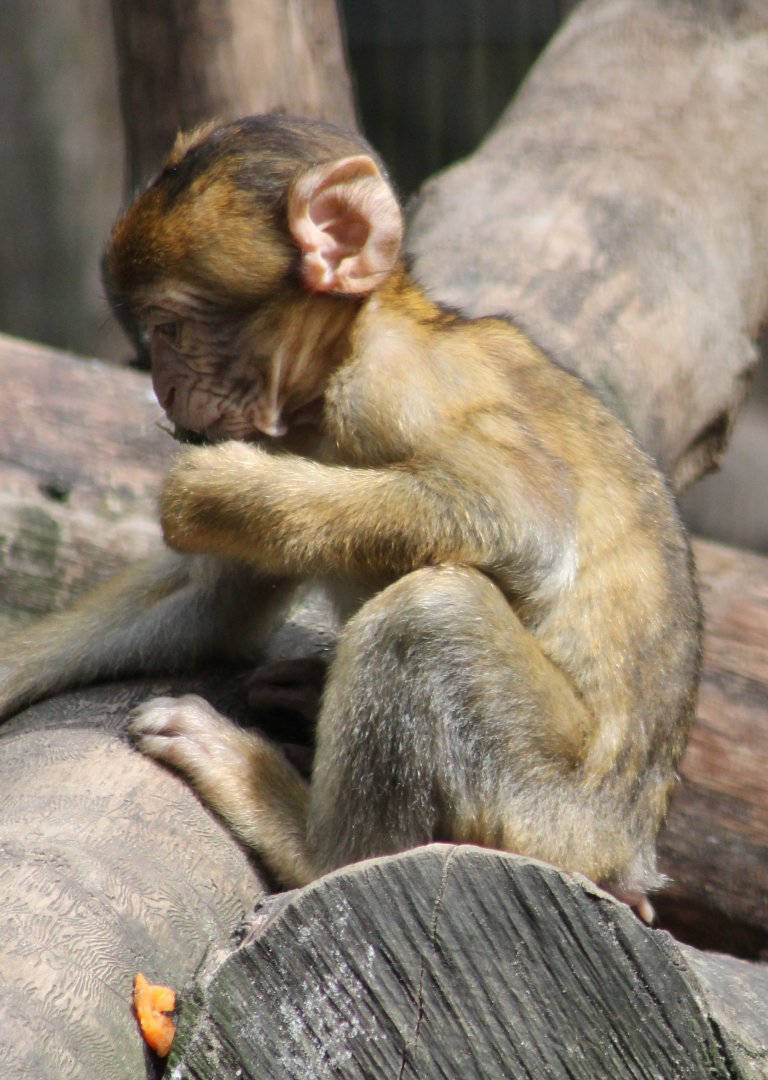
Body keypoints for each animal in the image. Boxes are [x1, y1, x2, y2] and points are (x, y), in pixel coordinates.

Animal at [0, 114, 701, 909]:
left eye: (170, 329)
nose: (166, 388)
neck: (346, 352)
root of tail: (627, 850)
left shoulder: (394, 387)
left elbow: (524, 521)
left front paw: (211, 489)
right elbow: (213, 602)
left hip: (546, 811)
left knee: (429, 612)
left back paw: (315, 843)